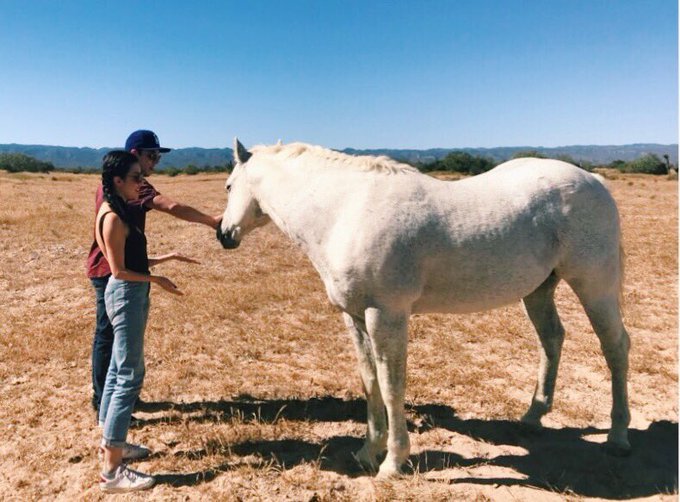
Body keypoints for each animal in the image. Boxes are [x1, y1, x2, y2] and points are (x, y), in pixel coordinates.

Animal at [217, 138, 631, 478]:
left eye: (228, 186)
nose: (223, 233)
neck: (346, 210)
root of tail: (594, 180)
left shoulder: (386, 315)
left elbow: (391, 385)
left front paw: (393, 461)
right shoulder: (355, 318)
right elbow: (370, 383)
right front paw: (367, 451)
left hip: (594, 286)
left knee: (615, 347)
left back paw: (618, 435)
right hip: (539, 290)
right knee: (552, 339)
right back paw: (532, 416)